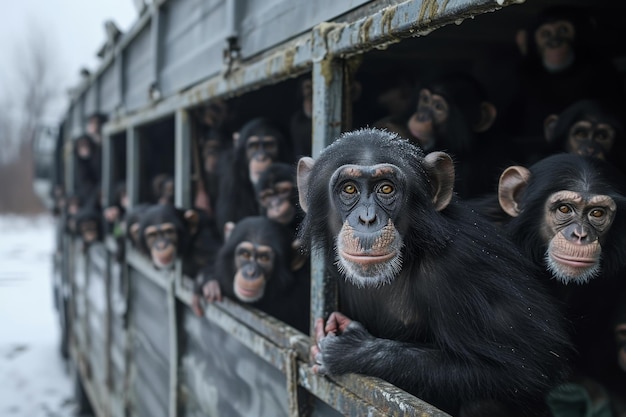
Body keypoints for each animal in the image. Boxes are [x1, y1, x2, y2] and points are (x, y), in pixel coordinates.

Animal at [296, 128, 572, 414]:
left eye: (386, 188)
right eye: (349, 189)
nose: (367, 218)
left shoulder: (464, 264)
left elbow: (527, 367)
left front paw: (349, 351)